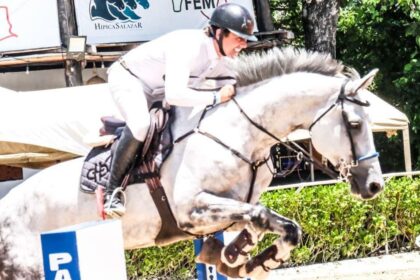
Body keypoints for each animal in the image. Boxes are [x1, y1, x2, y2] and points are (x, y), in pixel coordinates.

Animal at [0, 47, 384, 278]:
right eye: (355, 124)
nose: (374, 185)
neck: (239, 131)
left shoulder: (238, 203)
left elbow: (270, 223)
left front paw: (235, 257)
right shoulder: (192, 208)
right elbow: (261, 218)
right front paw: (244, 260)